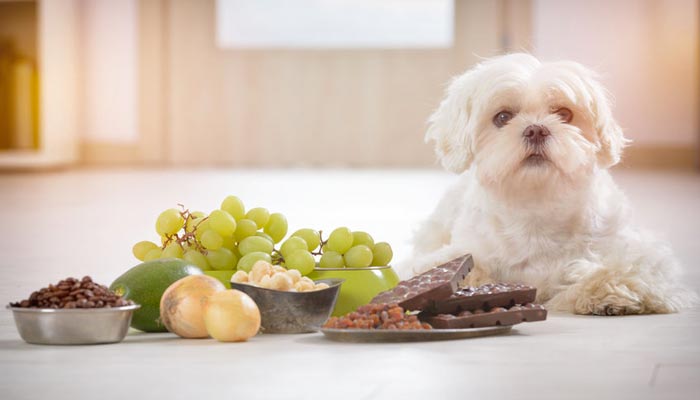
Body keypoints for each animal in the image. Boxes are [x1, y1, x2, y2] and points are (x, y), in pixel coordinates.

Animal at [404, 54, 696, 316]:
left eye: (565, 113)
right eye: (502, 117)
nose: (536, 130)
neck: (537, 207)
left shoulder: (640, 254)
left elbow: (624, 268)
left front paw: (609, 292)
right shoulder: (459, 252)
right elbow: (460, 268)